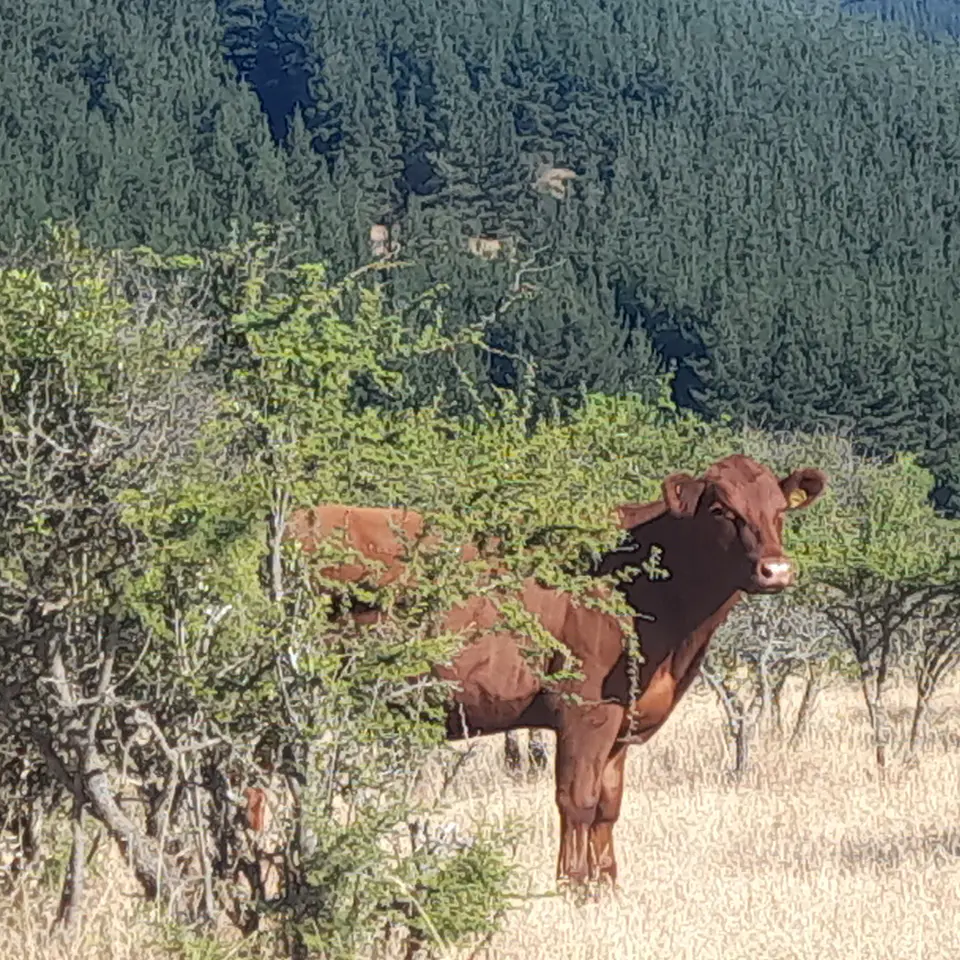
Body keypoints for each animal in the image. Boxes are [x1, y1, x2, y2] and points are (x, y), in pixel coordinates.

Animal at [254, 454, 826, 887]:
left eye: (780, 510)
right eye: (722, 510)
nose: (776, 569)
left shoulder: (622, 723)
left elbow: (608, 805)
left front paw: (606, 887)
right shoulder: (586, 711)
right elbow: (577, 801)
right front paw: (571, 889)